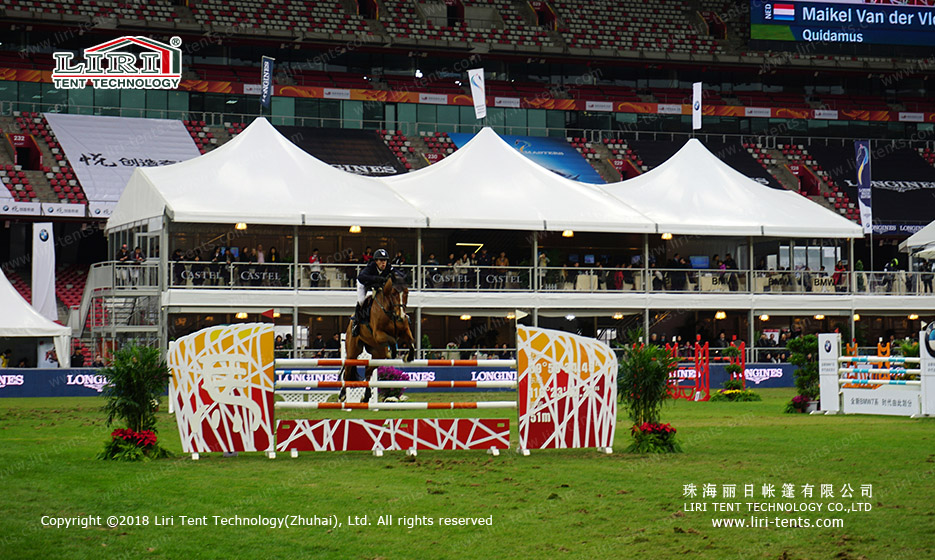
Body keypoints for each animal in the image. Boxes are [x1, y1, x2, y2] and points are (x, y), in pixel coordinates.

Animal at [342, 272, 414, 402]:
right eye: (394, 293)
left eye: (406, 292)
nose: (401, 316)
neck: (391, 312)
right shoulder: (378, 334)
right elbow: (392, 340)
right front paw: (393, 353)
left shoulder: (405, 330)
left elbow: (411, 342)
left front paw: (408, 356)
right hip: (352, 352)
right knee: (347, 372)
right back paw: (342, 395)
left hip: (378, 354)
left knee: (368, 371)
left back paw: (365, 396)